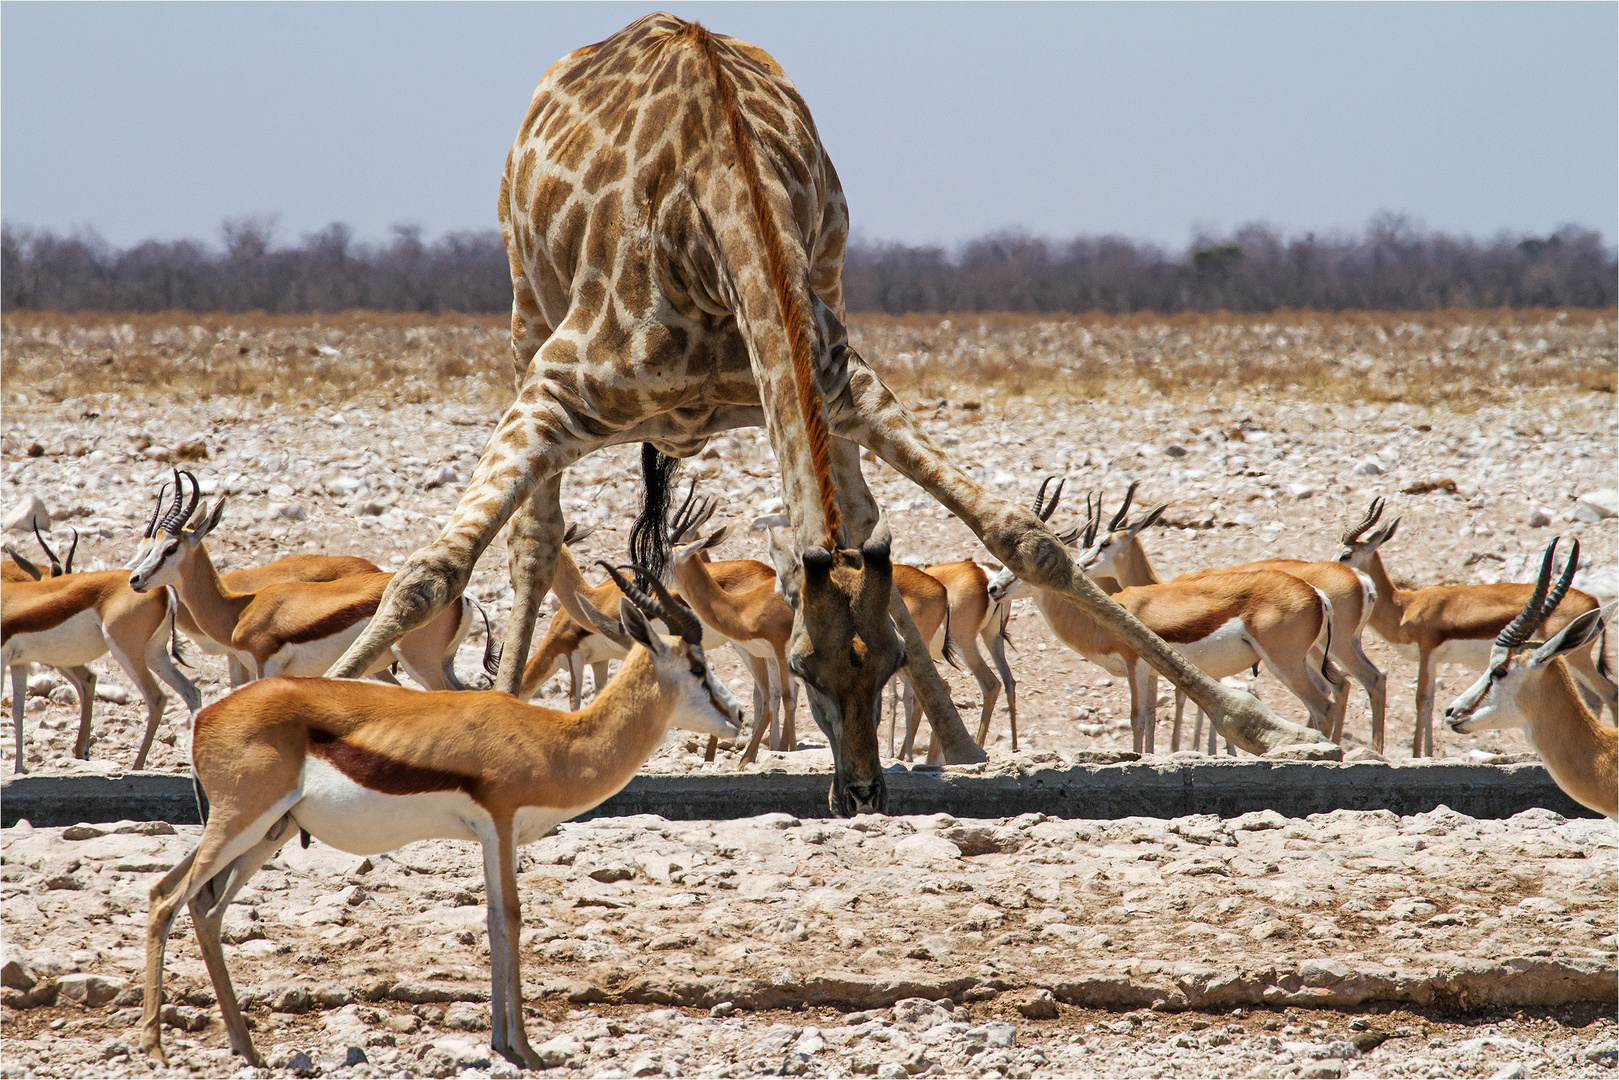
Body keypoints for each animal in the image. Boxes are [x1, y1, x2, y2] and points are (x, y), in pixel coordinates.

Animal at [322, 14, 1321, 809]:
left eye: (888, 661)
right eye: (803, 663)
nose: (860, 794)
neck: (707, 233)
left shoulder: (843, 381)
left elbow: (1023, 538)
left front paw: (1271, 731)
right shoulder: (556, 388)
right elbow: (429, 573)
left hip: (821, 328)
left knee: (865, 516)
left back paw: (959, 744)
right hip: (525, 311)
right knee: (530, 543)